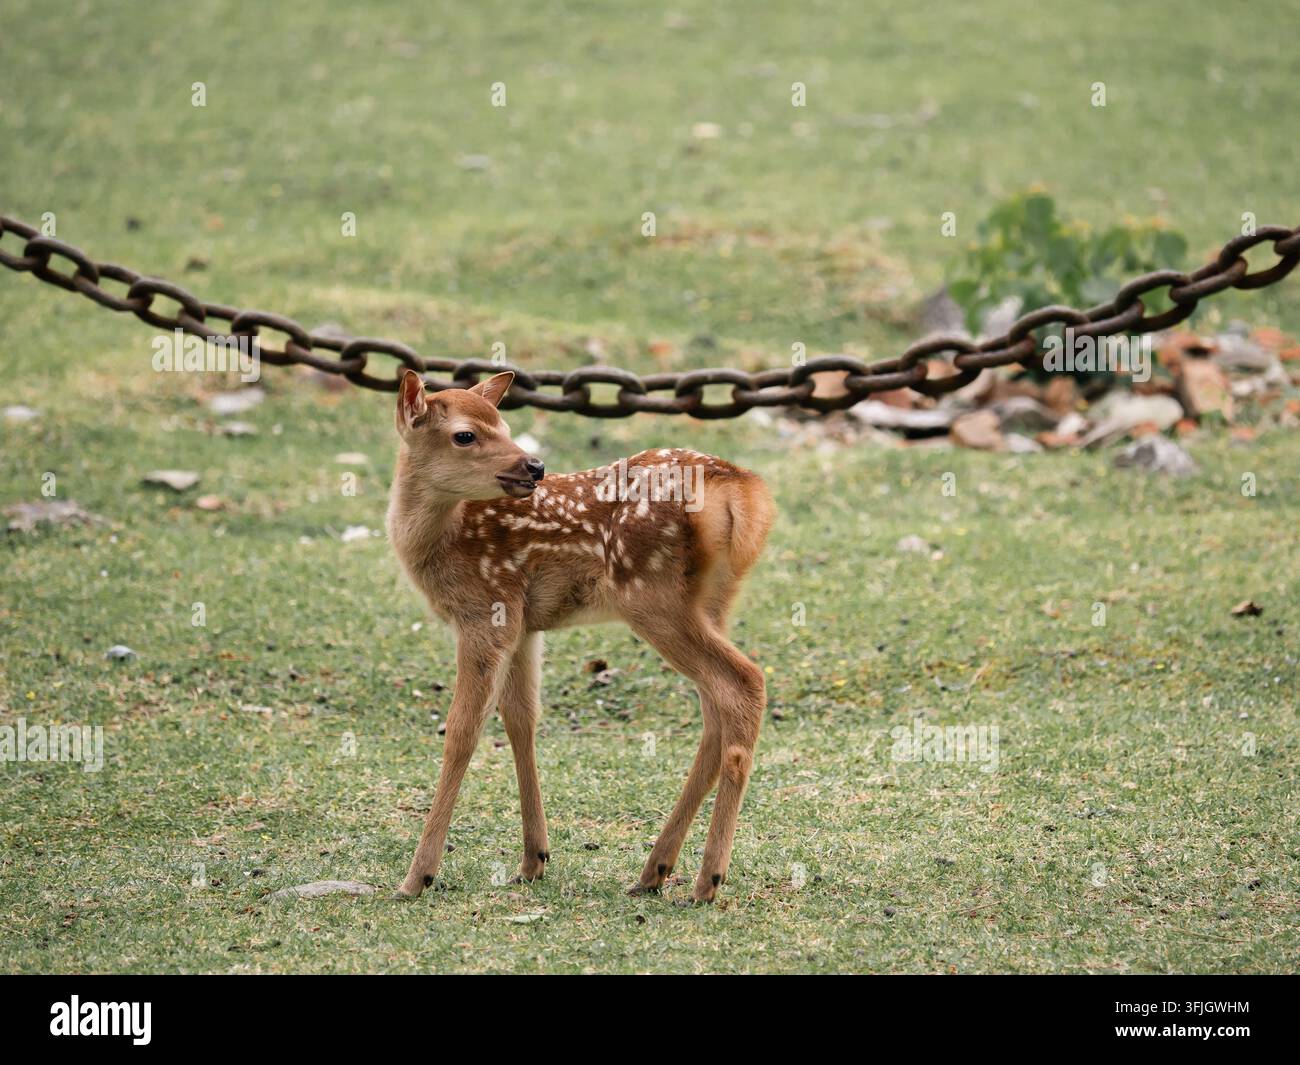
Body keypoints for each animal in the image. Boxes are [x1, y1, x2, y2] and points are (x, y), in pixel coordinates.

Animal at [385, 368, 775, 904]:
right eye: (466, 434)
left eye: (504, 426)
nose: (534, 466)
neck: (441, 538)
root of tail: (743, 491)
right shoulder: (524, 624)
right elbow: (520, 720)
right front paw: (533, 860)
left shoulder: (483, 609)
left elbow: (462, 731)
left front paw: (417, 877)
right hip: (713, 601)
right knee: (716, 710)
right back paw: (655, 869)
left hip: (651, 595)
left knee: (743, 682)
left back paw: (705, 880)